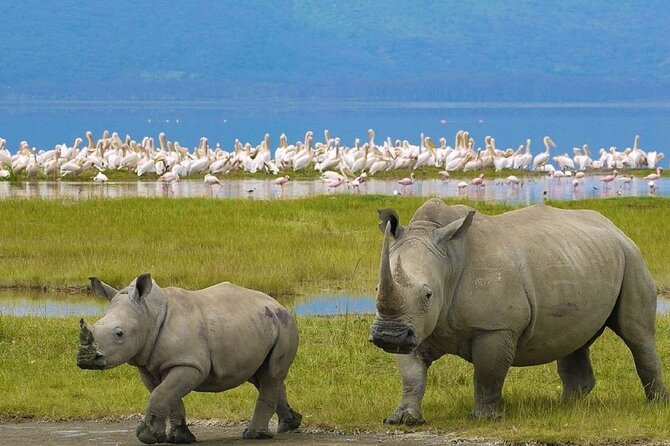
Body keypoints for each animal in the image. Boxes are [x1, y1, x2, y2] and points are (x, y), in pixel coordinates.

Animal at [77, 273, 302, 444]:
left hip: (284, 325)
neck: (149, 314)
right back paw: (290, 424)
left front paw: (147, 436)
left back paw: (254, 435)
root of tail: (277, 303)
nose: (85, 359)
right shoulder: (149, 367)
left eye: (119, 334)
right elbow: (168, 396)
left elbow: (160, 394)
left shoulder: (189, 364)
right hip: (260, 324)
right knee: (262, 376)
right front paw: (179, 438)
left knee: (270, 375)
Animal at [369, 198, 668, 422]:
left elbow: (487, 374)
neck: (449, 262)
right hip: (581, 258)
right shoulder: (415, 326)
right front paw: (402, 419)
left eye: (428, 295)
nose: (388, 336)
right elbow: (411, 375)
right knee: (575, 337)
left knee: (637, 335)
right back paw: (564, 407)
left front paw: (484, 418)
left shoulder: (496, 327)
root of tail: (614, 227)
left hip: (632, 257)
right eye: (376, 288)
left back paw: (656, 405)